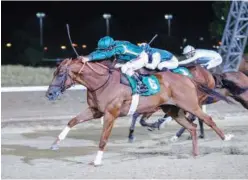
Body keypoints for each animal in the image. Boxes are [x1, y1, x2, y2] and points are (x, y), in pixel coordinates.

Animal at [45, 57, 233, 166]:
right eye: (54, 73)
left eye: (60, 74)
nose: (50, 94)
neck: (102, 83)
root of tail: (187, 77)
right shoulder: (95, 110)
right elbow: (72, 121)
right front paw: (55, 143)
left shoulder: (110, 114)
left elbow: (103, 139)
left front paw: (97, 160)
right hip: (174, 110)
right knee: (192, 127)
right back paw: (194, 153)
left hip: (190, 105)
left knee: (207, 119)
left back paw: (226, 138)